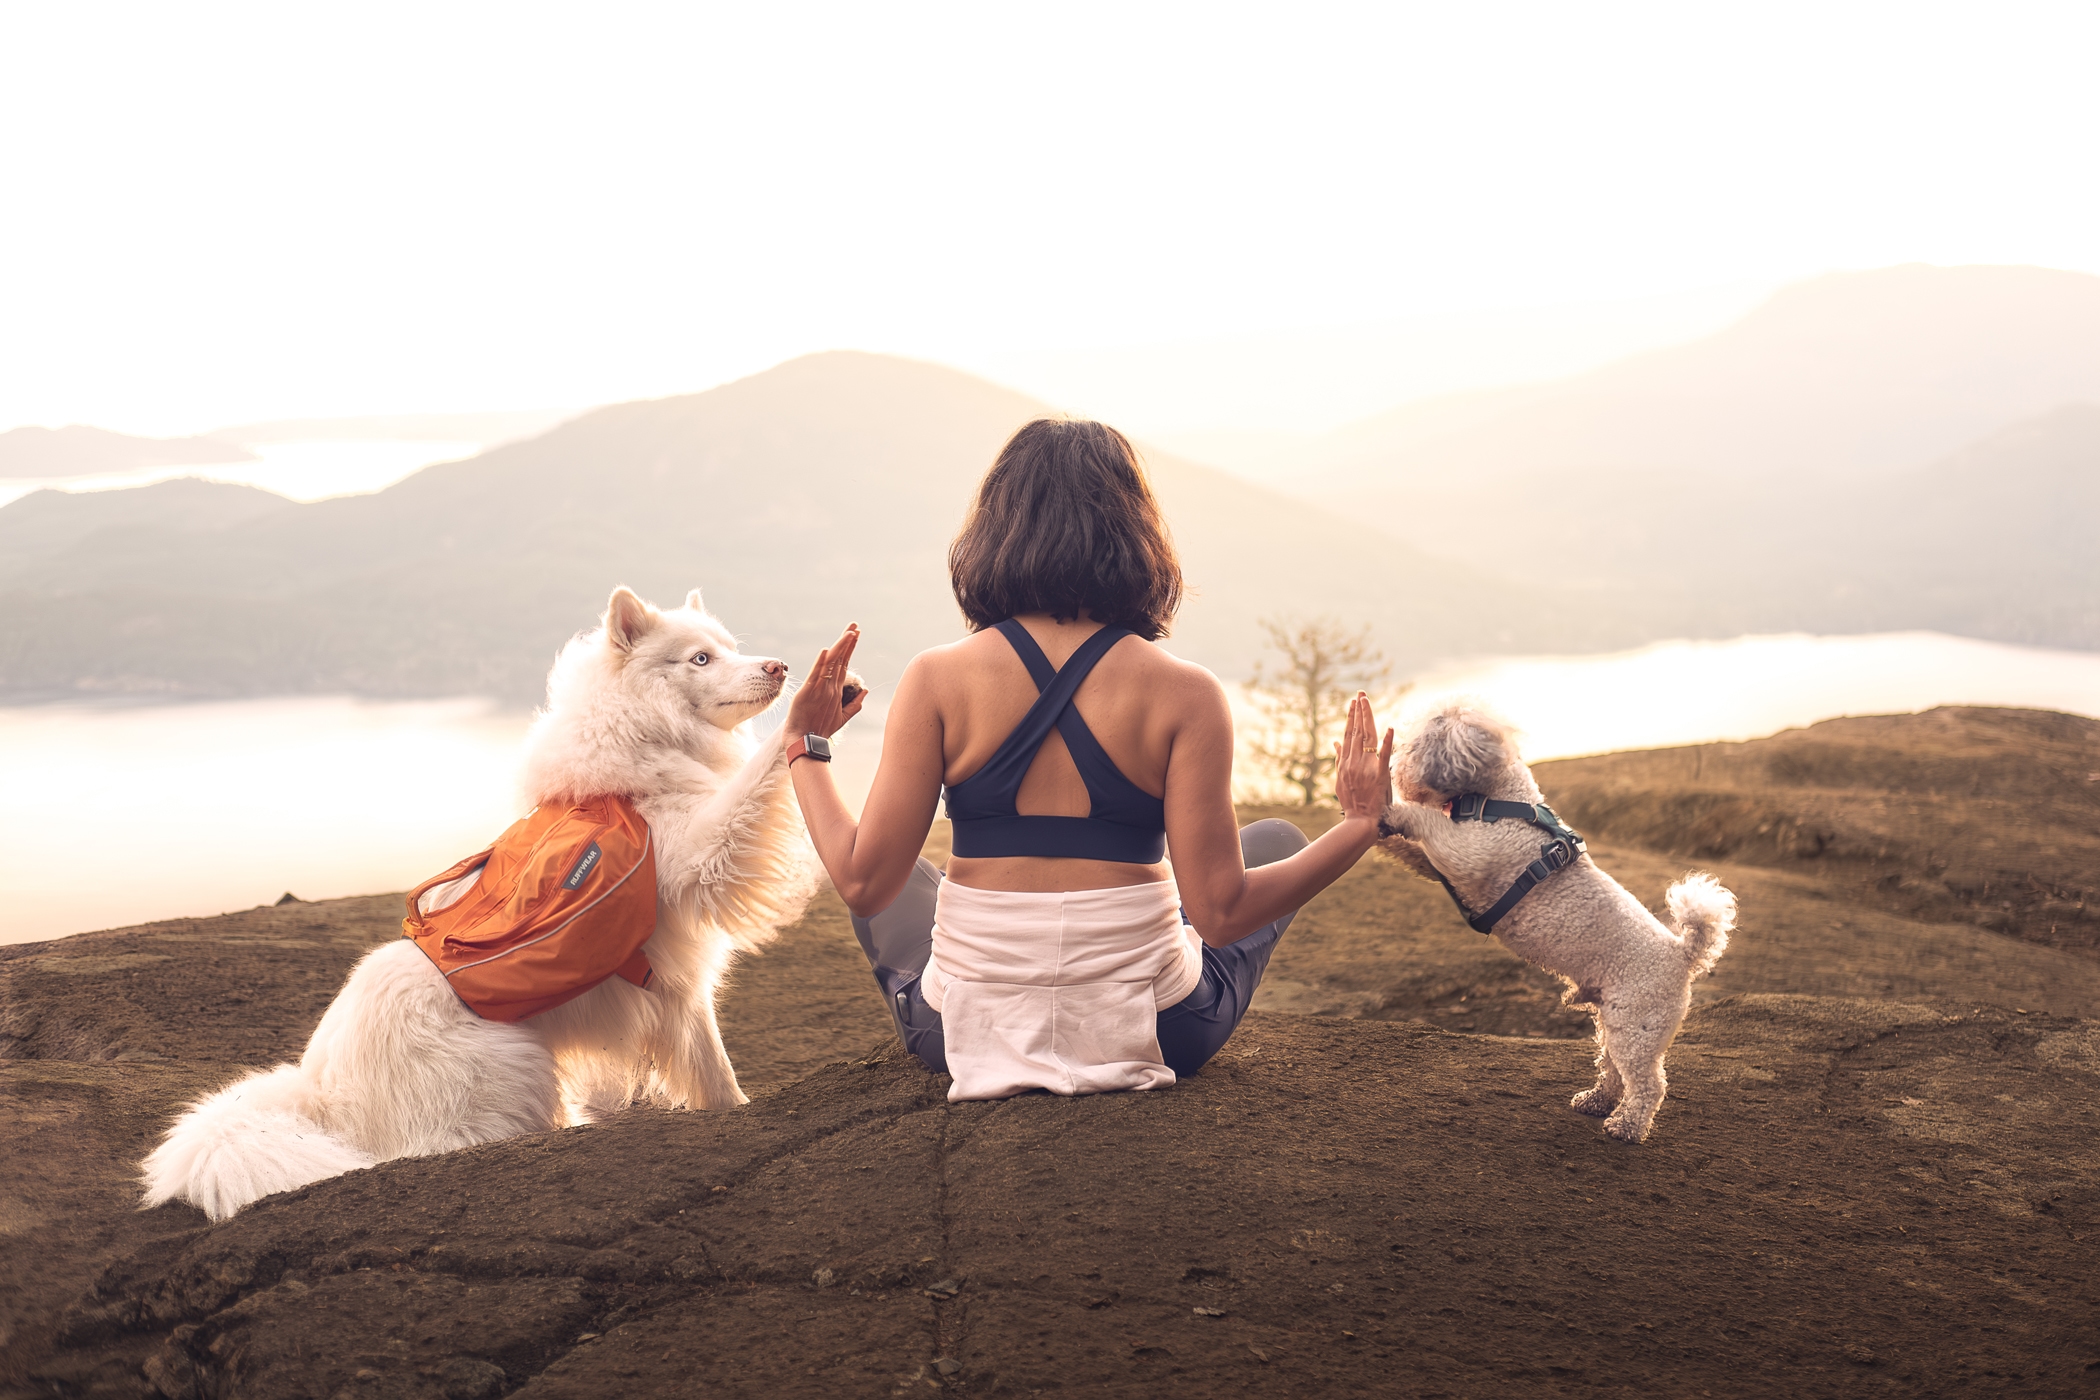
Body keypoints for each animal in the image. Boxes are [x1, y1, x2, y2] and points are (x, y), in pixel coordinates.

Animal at [139, 587, 823, 1217]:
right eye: (700, 658)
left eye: (730, 647)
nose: (780, 667)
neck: (638, 740)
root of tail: (323, 1098)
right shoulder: (706, 857)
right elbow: (753, 786)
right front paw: (810, 711)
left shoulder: (682, 989)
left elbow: (712, 1067)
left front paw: (732, 1107)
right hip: (517, 1062)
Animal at [1369, 705, 1730, 1141]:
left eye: (1416, 743)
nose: (1395, 764)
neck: (1503, 803)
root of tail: (1683, 954)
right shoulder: (1443, 866)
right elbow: (1411, 852)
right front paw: (1379, 834)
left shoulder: (1467, 853)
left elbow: (1426, 823)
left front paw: (1390, 810)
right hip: (1615, 1021)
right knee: (1613, 1070)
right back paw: (1596, 1101)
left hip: (1638, 1026)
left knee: (1648, 1084)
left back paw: (1626, 1125)